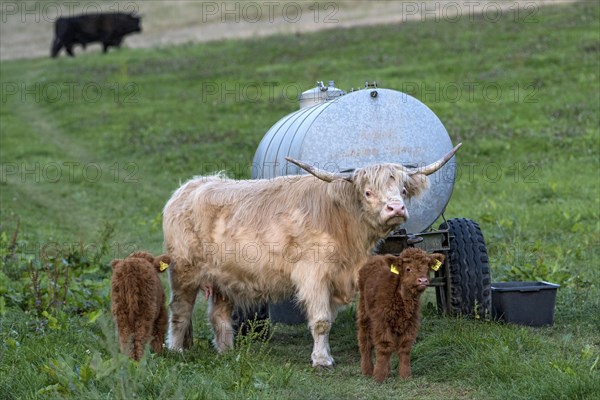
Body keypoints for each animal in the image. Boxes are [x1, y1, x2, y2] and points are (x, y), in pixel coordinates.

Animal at [358, 248, 442, 382]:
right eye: (408, 269)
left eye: (427, 268)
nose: (423, 280)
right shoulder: (381, 321)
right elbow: (384, 347)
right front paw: (379, 376)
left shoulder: (411, 323)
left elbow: (404, 347)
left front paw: (405, 375)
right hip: (364, 312)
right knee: (365, 340)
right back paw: (367, 370)